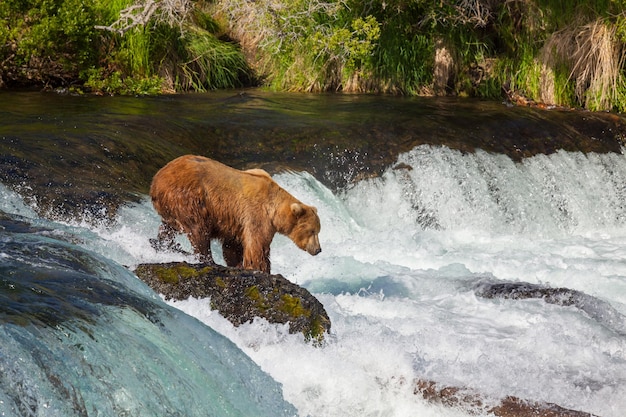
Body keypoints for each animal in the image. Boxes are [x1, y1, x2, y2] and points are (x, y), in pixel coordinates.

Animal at [148, 154, 320, 272]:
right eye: (312, 231)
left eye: (318, 230)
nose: (318, 249)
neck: (274, 210)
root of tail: (156, 180)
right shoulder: (257, 214)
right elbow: (257, 246)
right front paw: (261, 268)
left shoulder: (238, 222)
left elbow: (233, 245)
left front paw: (237, 263)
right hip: (188, 197)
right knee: (198, 229)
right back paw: (207, 259)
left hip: (171, 206)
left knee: (169, 227)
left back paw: (161, 243)